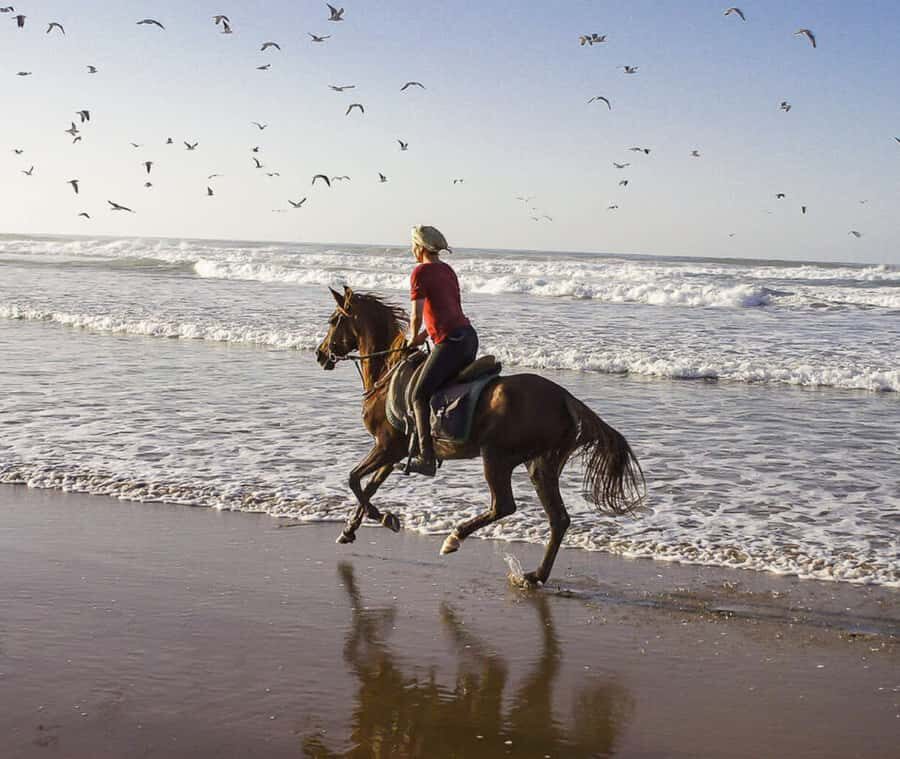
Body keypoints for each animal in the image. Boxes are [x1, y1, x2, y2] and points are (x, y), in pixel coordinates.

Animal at [315, 285, 645, 585]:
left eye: (333, 320)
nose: (320, 355)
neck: (388, 371)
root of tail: (565, 398)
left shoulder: (386, 447)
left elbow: (354, 480)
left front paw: (384, 518)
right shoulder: (393, 452)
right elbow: (369, 487)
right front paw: (351, 529)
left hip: (497, 457)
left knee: (504, 505)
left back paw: (455, 538)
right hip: (541, 465)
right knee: (558, 519)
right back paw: (536, 575)